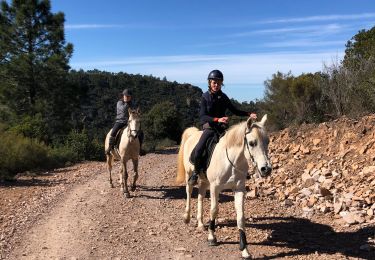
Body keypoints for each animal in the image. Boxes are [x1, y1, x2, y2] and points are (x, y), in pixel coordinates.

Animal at [178, 115, 272, 258]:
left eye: (267, 142)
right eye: (252, 143)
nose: (266, 169)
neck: (232, 161)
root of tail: (193, 134)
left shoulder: (239, 189)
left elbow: (240, 217)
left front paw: (244, 249)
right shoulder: (215, 188)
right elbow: (214, 210)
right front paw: (212, 237)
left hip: (204, 181)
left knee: (200, 196)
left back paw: (200, 224)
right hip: (190, 174)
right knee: (189, 191)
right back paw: (187, 217)